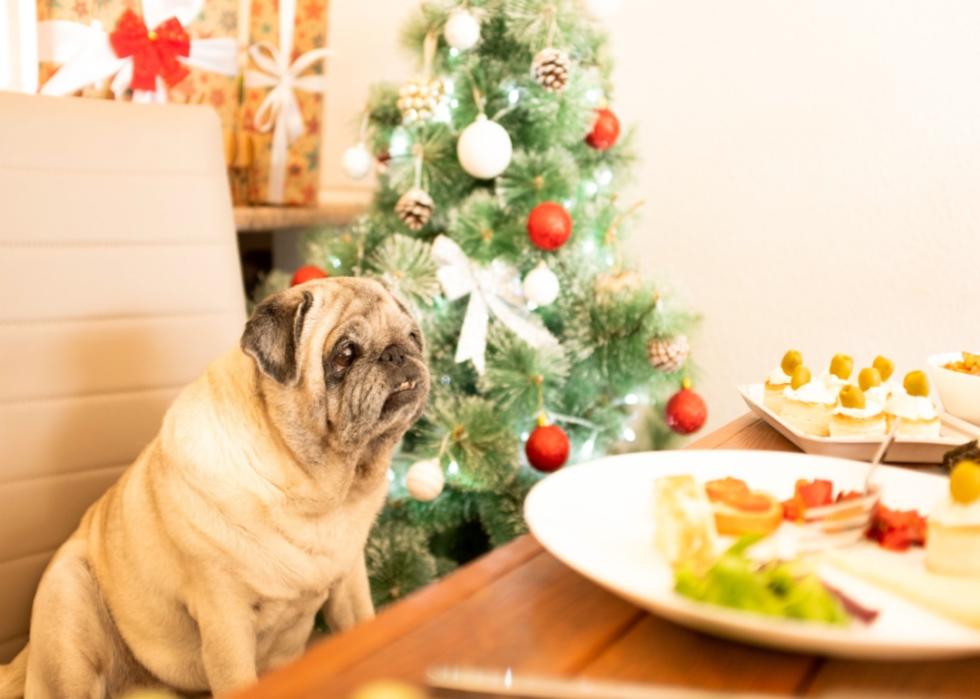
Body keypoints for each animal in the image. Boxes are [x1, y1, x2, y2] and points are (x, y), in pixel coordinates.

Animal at [0, 276, 428, 696]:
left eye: (412, 337)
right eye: (345, 354)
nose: (396, 354)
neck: (319, 491)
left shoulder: (349, 583)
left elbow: (363, 627)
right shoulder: (226, 620)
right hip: (68, 601)